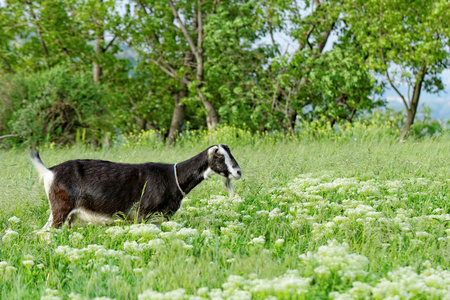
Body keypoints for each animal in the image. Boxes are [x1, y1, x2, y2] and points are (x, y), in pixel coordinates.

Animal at [30, 144, 243, 230]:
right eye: (219, 156)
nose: (238, 172)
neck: (172, 177)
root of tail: (49, 171)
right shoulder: (142, 215)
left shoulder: (158, 219)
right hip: (61, 208)